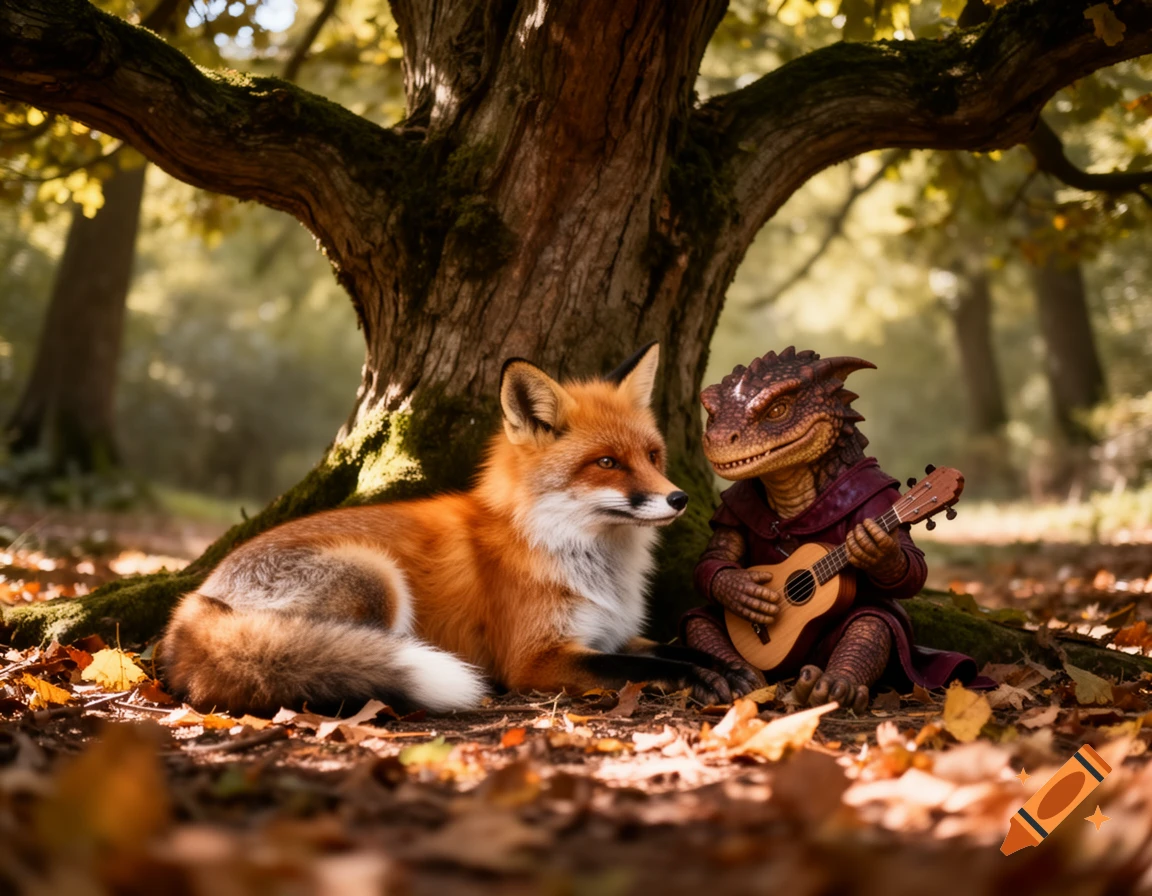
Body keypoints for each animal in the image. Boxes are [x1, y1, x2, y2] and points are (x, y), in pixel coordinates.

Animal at [160, 343, 753, 715]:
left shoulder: (614, 632)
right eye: (606, 463)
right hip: (376, 579)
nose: (679, 499)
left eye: (652, 456)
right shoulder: (538, 658)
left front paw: (723, 665)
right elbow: (640, 667)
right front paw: (704, 678)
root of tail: (194, 602)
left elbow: (670, 649)